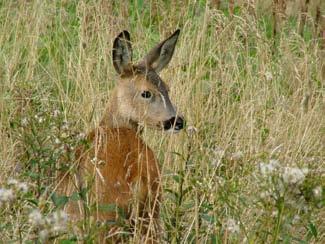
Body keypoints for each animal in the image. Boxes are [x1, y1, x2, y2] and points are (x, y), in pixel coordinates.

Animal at [57, 29, 184, 242]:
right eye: (146, 93)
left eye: (166, 89)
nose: (176, 121)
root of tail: (138, 177)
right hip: (151, 211)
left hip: (106, 215)